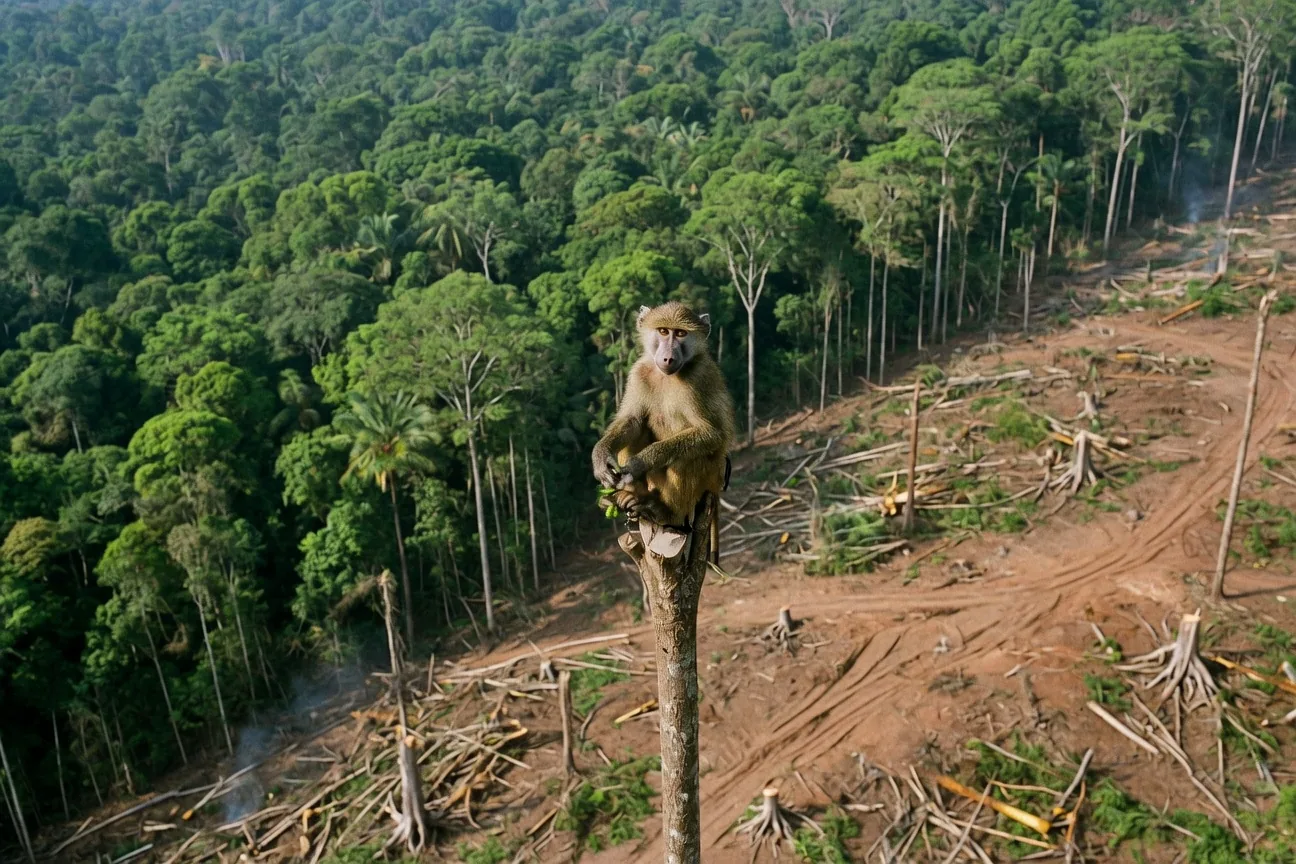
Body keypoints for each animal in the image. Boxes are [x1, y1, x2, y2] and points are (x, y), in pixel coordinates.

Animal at [591, 301, 736, 564]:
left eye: (680, 333)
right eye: (663, 331)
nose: (668, 357)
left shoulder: (697, 378)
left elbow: (711, 434)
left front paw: (640, 462)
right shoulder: (639, 372)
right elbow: (632, 420)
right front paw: (601, 457)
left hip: (711, 475)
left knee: (688, 456)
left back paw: (665, 513)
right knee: (639, 430)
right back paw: (630, 498)